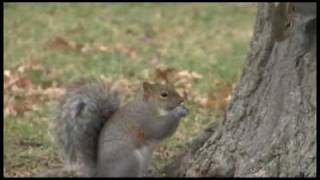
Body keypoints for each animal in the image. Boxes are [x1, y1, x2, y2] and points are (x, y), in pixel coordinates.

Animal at [40, 80, 190, 177]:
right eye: (163, 94)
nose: (181, 100)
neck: (150, 106)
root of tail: (101, 173)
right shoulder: (145, 120)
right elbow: (161, 129)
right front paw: (178, 112)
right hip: (130, 160)